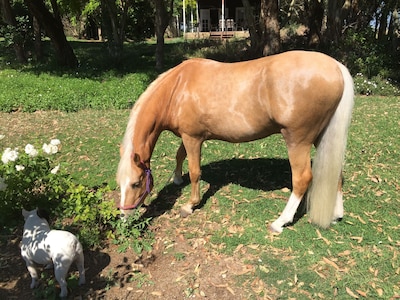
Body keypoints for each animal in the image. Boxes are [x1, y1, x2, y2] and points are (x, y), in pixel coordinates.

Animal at [116, 50, 354, 233]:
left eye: (136, 183)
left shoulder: (193, 138)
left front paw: (190, 205)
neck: (178, 87)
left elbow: (195, 171)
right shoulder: (188, 135)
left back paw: (280, 222)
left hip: (298, 140)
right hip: (321, 138)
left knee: (302, 179)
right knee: (336, 172)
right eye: (120, 183)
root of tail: (334, 66)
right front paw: (176, 178)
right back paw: (336, 214)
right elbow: (179, 155)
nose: (123, 216)